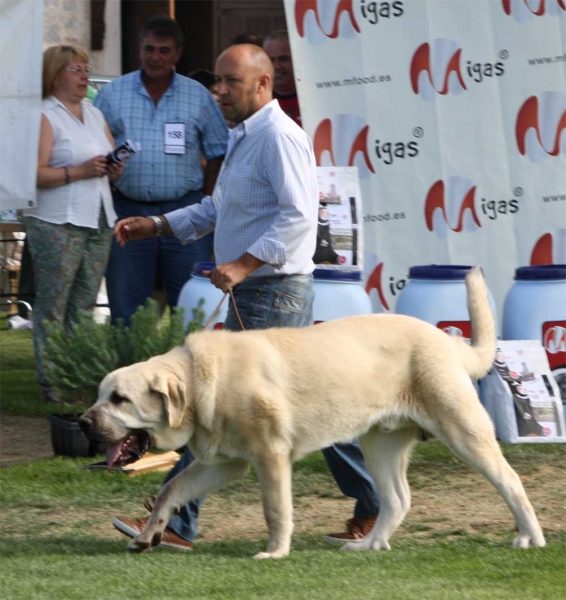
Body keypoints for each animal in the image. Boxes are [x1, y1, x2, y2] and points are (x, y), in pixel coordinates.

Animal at [80, 268, 544, 556]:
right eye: (101, 395)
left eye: (119, 399)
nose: (83, 422)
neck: (197, 381)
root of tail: (448, 341)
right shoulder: (223, 463)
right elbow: (171, 490)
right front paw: (147, 536)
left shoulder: (270, 456)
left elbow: (275, 509)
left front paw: (274, 552)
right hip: (380, 443)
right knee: (397, 499)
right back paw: (368, 545)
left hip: (462, 429)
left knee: (510, 480)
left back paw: (530, 537)